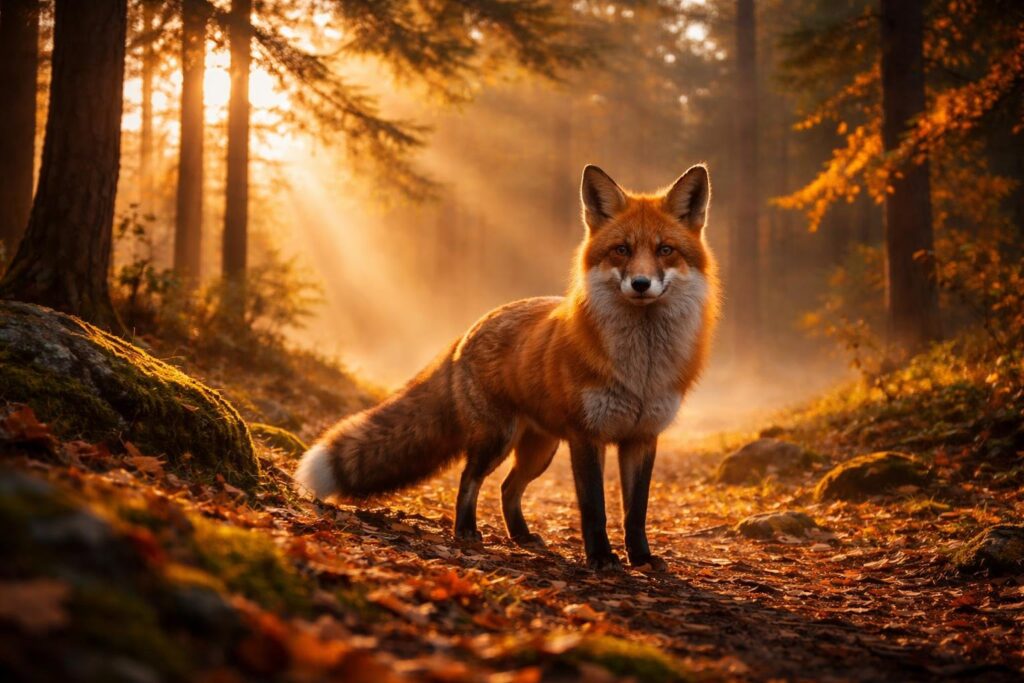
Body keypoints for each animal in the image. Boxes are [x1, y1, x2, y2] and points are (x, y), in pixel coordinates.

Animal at [295, 163, 719, 571]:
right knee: (470, 478)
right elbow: (594, 508)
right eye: (621, 250)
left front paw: (641, 558)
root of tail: (472, 327)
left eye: (665, 250)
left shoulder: (642, 437)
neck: (641, 369)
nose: (641, 283)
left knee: (507, 488)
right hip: (497, 438)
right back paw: (466, 531)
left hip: (540, 449)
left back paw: (521, 536)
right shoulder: (587, 436)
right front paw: (600, 557)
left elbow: (636, 512)